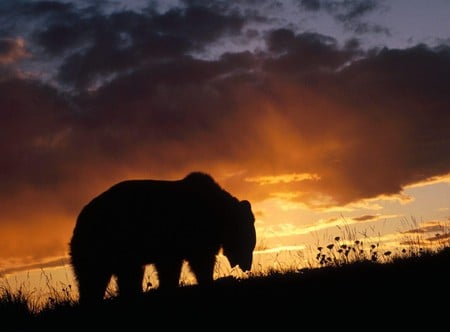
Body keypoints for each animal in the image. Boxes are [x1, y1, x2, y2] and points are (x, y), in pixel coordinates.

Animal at [68, 172, 255, 304]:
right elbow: (200, 261)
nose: (247, 266)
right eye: (249, 243)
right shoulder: (189, 231)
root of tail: (80, 219)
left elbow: (170, 268)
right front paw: (208, 281)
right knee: (101, 276)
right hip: (109, 241)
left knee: (98, 278)